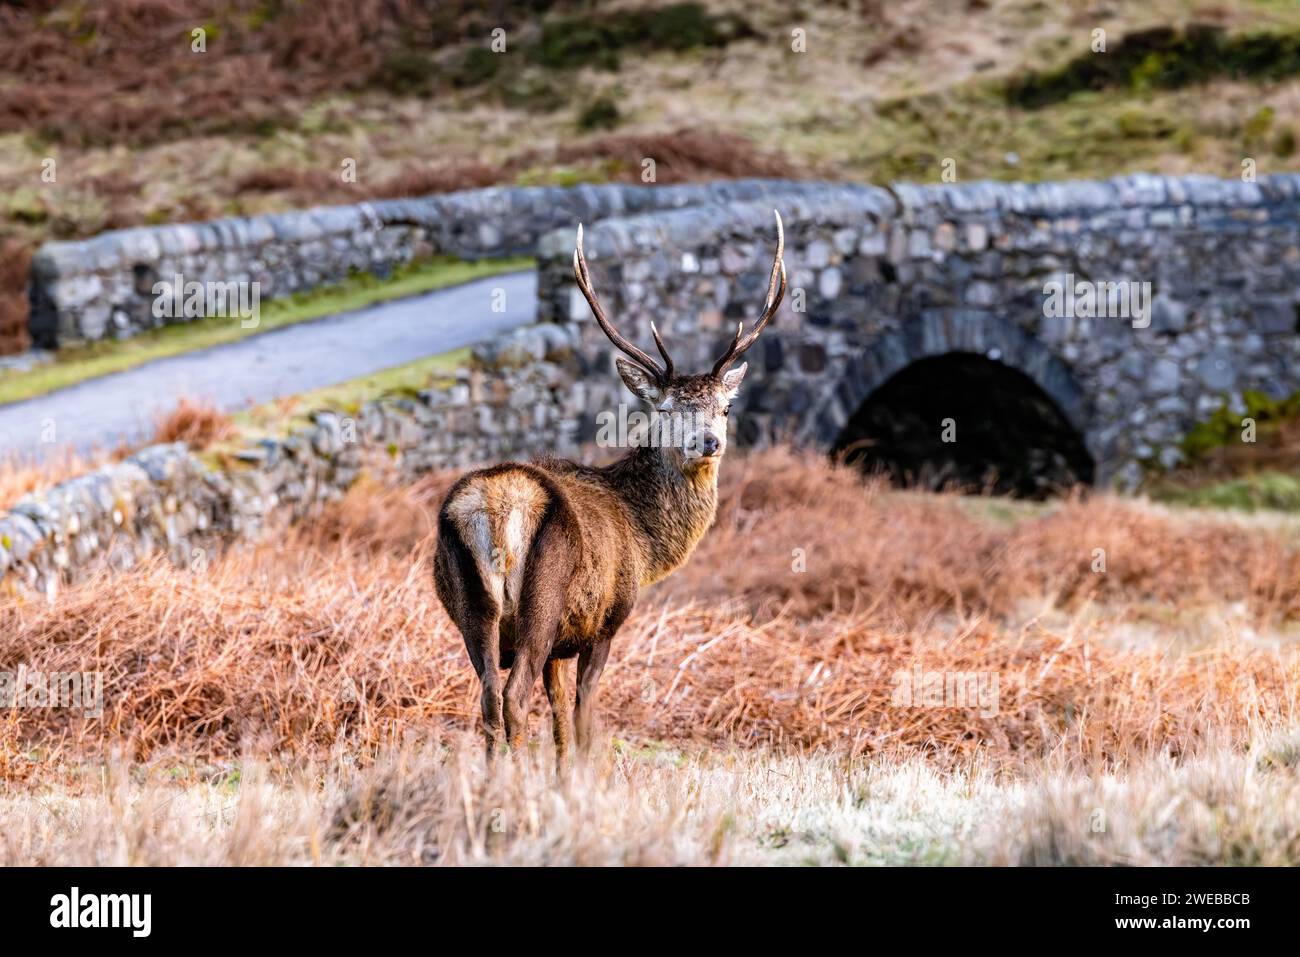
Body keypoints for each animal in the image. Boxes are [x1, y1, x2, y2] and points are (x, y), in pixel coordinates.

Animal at [433, 211, 786, 765]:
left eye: (726, 407)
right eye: (666, 409)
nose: (708, 442)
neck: (645, 541)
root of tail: (494, 508)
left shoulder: (562, 642)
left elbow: (559, 717)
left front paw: (560, 775)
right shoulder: (605, 620)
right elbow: (581, 715)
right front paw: (582, 774)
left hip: (471, 607)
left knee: (488, 695)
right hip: (543, 599)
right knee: (513, 695)